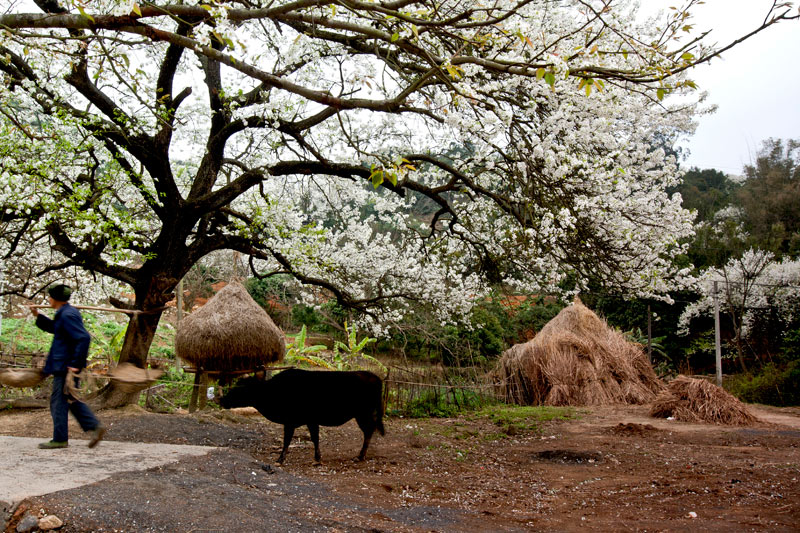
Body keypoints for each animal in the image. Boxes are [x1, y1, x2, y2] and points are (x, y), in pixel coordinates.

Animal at [217, 368, 382, 464]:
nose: (222, 399)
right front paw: (317, 457)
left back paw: (360, 456)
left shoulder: (291, 421)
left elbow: (287, 440)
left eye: (241, 387)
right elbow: (315, 438)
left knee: (369, 430)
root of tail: (373, 376)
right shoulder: (310, 421)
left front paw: (280, 459)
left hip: (363, 413)